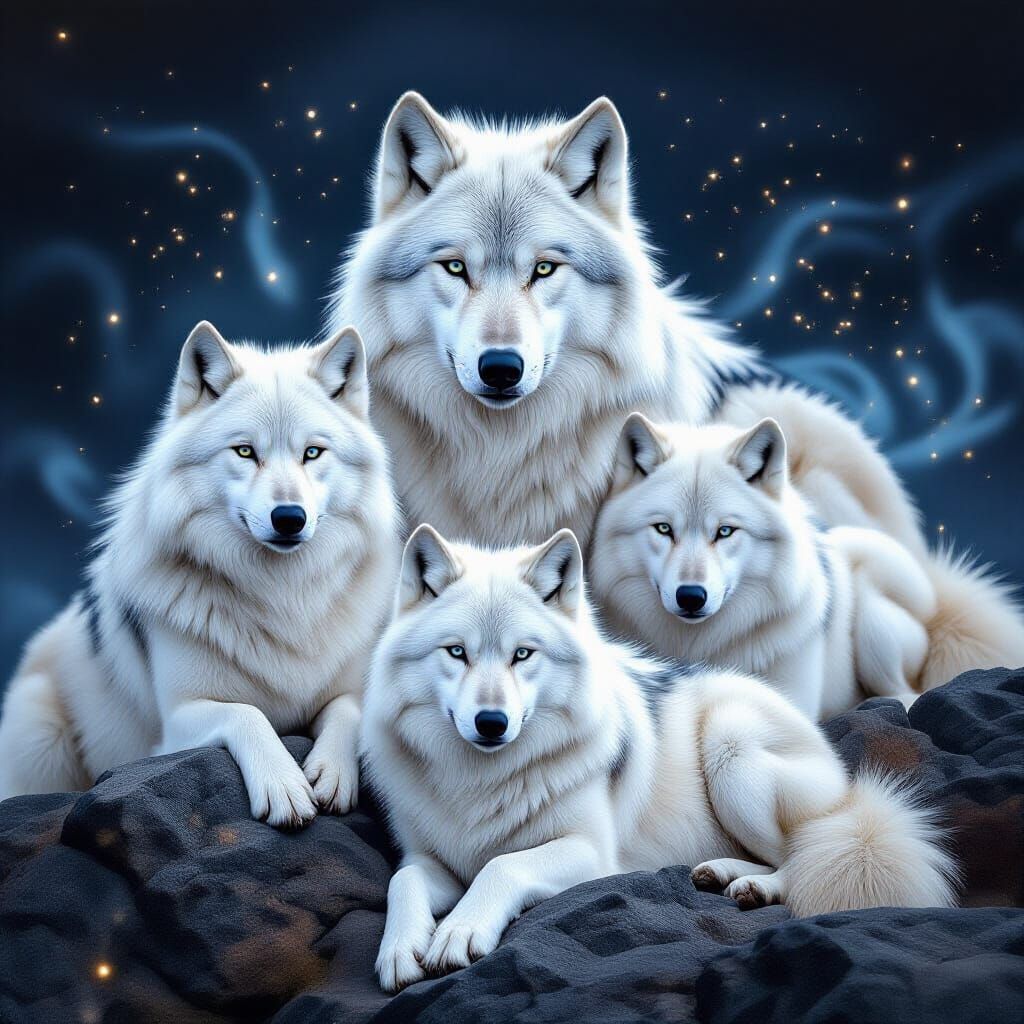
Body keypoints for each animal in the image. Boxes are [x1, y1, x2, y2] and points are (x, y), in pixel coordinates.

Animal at [0, 322, 399, 827]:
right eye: (245, 451)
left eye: (313, 453)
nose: (290, 518)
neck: (283, 597)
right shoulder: (178, 719)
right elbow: (246, 713)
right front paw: (284, 787)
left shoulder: (352, 689)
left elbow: (348, 711)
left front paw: (331, 774)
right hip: (40, 734)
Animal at [361, 525, 957, 992]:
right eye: (457, 652)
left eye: (522, 654)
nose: (491, 723)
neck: (480, 782)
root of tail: (840, 771)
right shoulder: (430, 859)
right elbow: (402, 880)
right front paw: (399, 948)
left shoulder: (592, 854)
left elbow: (501, 866)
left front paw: (460, 931)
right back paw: (721, 873)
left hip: (731, 745)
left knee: (806, 854)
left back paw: (755, 885)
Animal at [590, 415, 947, 720]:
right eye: (664, 529)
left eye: (725, 531)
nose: (691, 596)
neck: (697, 645)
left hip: (874, 622)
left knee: (907, 691)